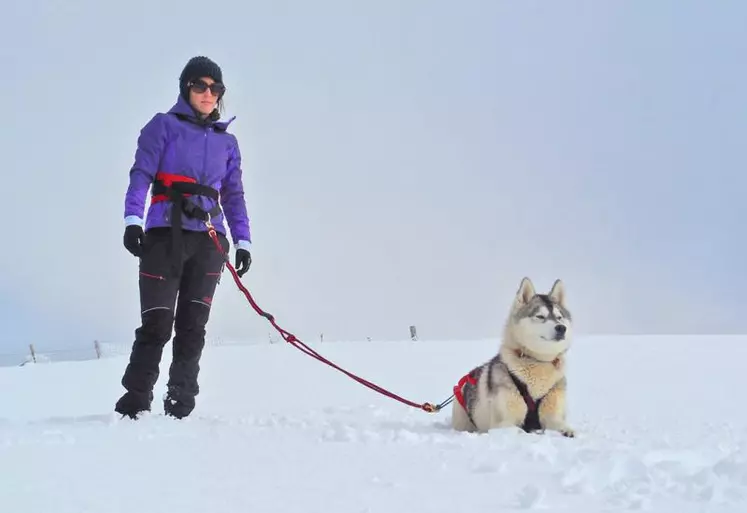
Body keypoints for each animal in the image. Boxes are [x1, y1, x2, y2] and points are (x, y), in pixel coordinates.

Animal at [450, 276, 580, 436]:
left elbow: (557, 423)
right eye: (540, 316)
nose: (562, 328)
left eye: (559, 317)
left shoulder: (552, 414)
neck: (539, 361)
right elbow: (518, 430)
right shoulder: (503, 423)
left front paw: (567, 430)